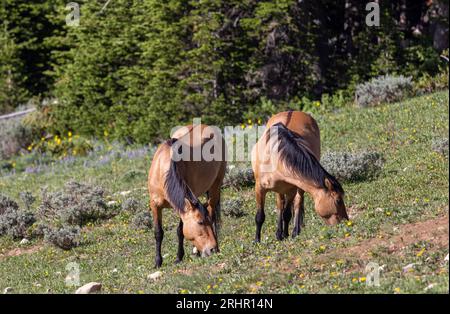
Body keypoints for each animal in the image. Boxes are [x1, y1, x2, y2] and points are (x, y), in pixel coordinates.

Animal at [149, 124, 227, 266]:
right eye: (200, 222)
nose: (212, 248)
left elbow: (180, 231)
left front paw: (179, 257)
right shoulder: (155, 205)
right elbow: (158, 232)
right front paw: (158, 262)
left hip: (215, 186)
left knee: (212, 212)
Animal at [250, 111, 348, 242]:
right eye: (338, 200)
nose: (346, 221)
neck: (275, 157)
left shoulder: (291, 189)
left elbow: (287, 213)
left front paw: (287, 234)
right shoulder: (259, 188)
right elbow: (260, 216)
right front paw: (257, 240)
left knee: (298, 202)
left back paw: (295, 231)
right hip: (279, 189)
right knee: (280, 204)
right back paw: (279, 233)